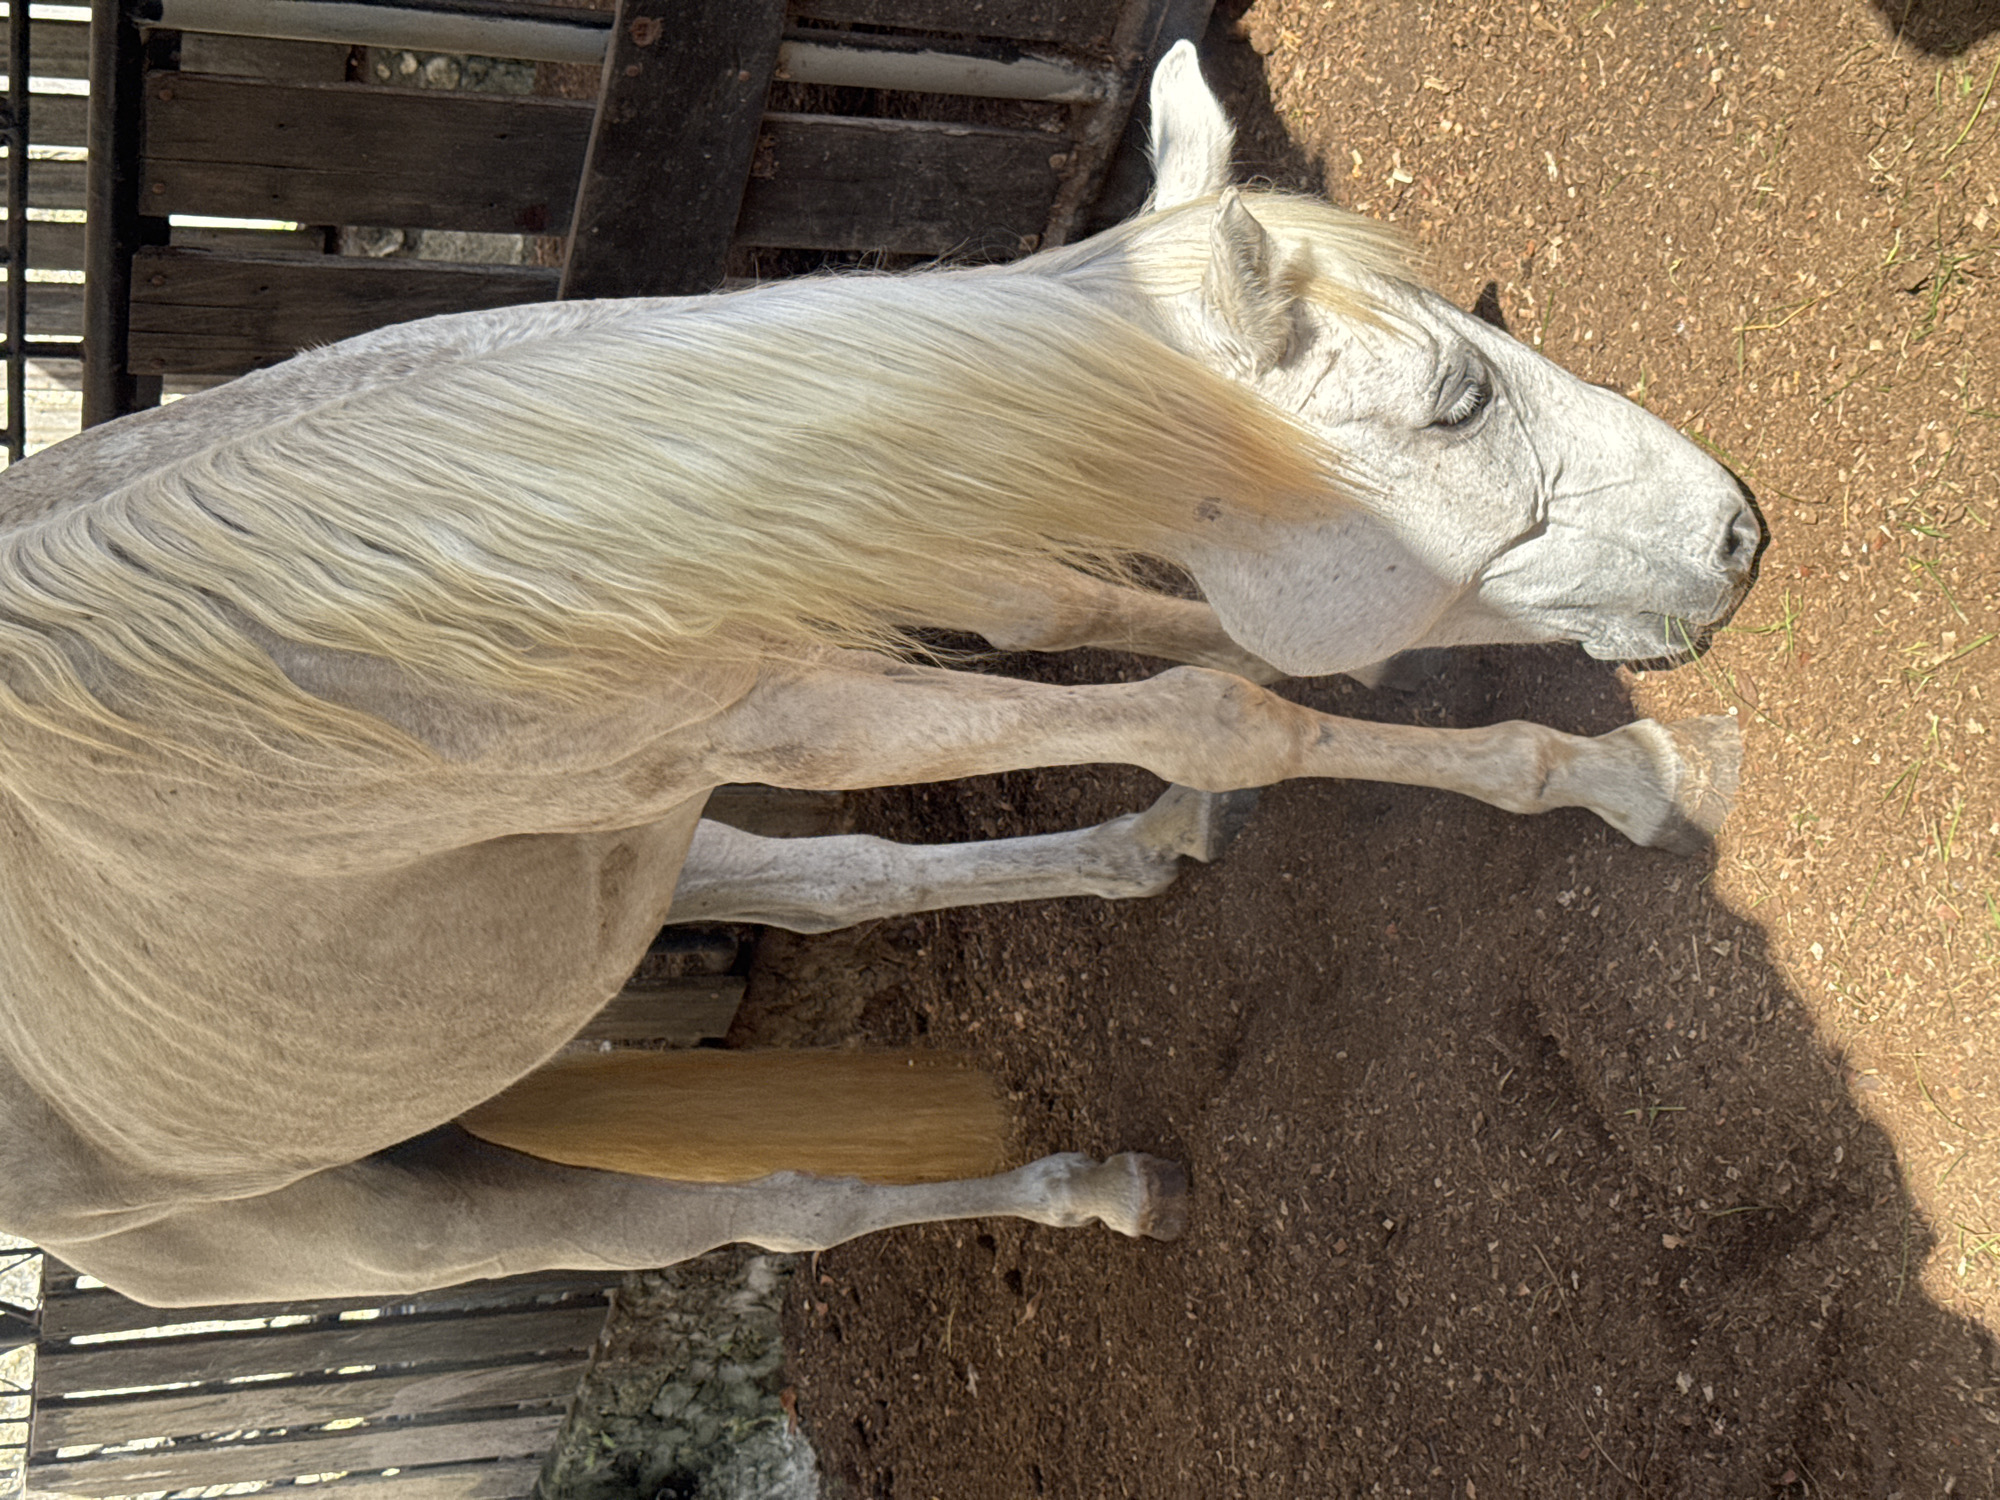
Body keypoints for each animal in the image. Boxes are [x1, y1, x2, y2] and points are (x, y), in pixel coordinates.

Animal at [0, 44, 1759, 1305]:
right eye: (1461, 399)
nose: (1739, 534)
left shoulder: (848, 591)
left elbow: (1143, 626)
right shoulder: (799, 713)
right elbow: (1224, 704)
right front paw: (1626, 774)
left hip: (620, 882)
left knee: (832, 883)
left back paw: (1145, 858)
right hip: (399, 1217)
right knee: (789, 1206)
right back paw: (1090, 1187)